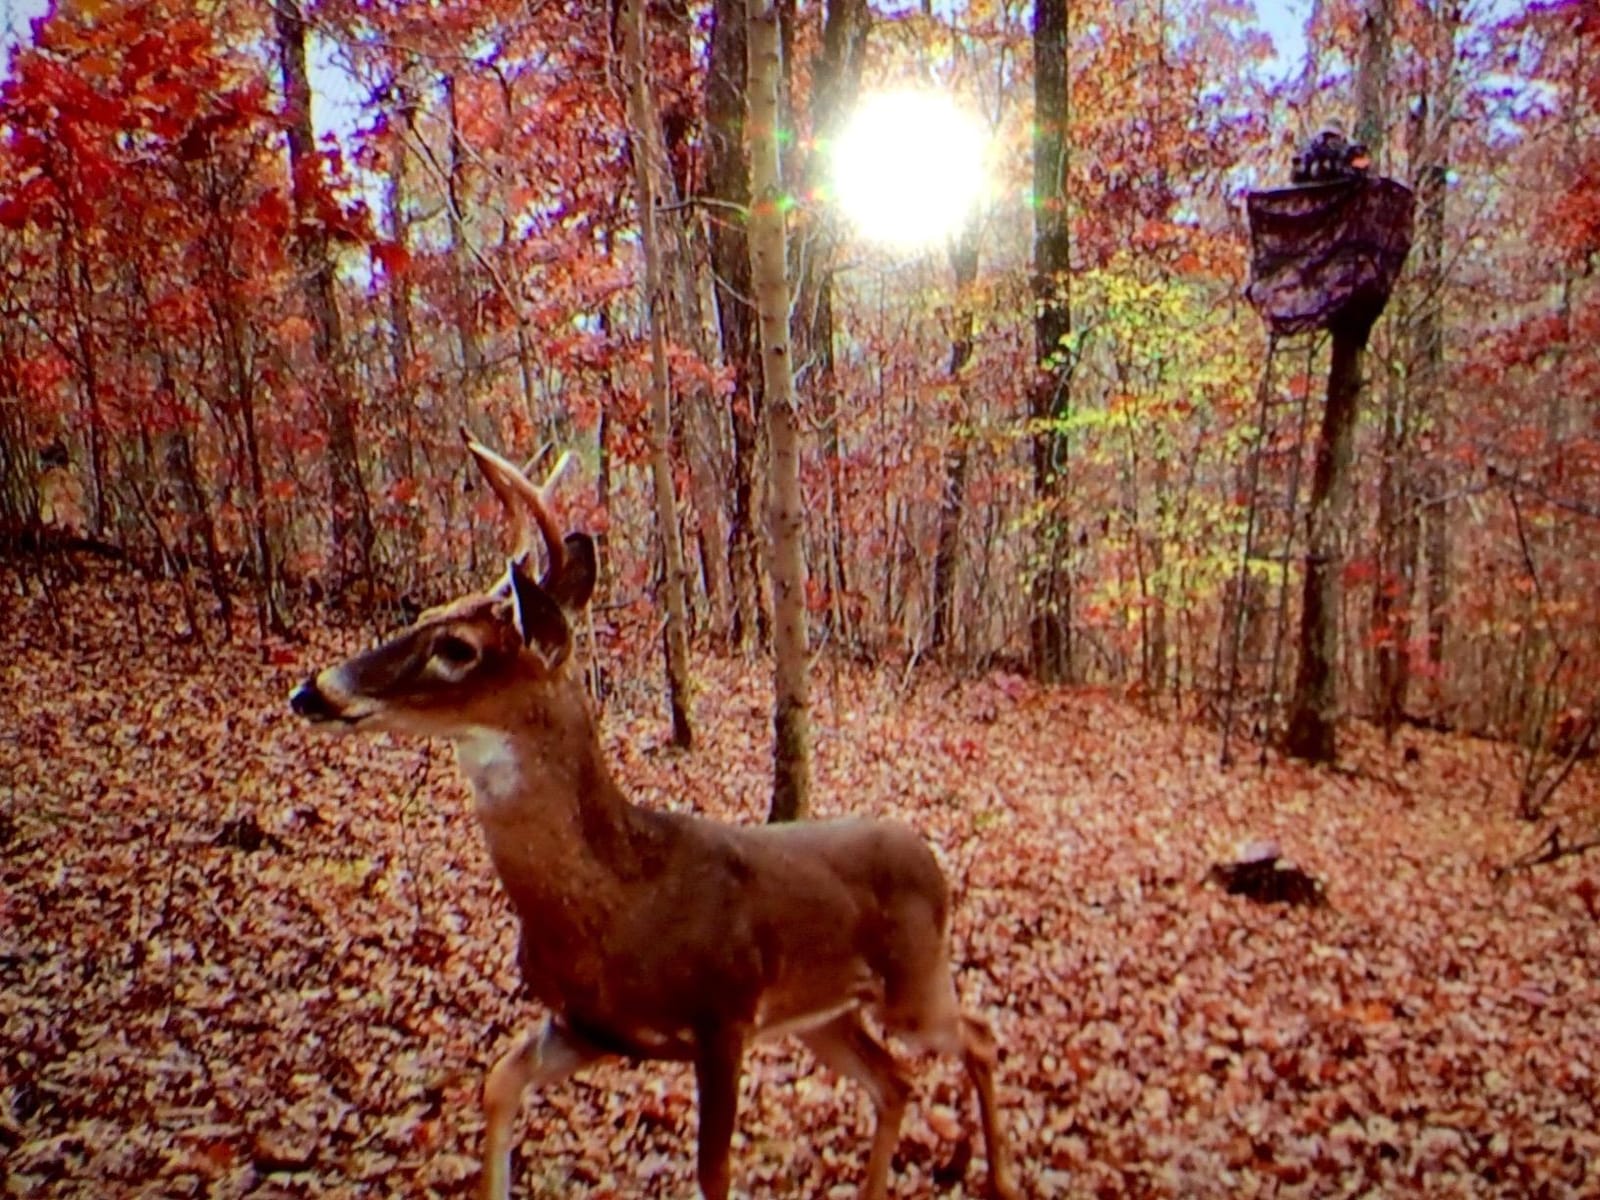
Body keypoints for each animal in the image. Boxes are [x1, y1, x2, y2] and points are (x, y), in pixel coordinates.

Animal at [288, 429, 1018, 1200]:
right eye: (427, 617)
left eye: (457, 648)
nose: (314, 690)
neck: (619, 902)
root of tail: (929, 856)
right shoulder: (589, 1026)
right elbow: (498, 1082)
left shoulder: (724, 1015)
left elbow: (714, 1172)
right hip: (826, 1014)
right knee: (896, 1082)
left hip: (913, 984)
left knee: (978, 1036)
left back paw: (996, 1176)